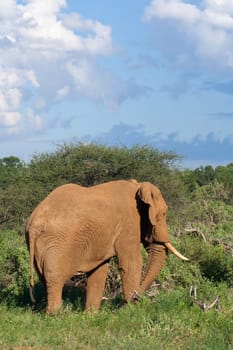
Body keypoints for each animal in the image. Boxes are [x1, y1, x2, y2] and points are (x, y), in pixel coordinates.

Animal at [25, 179, 187, 314]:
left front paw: (91, 315)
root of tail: (34, 225)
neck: (137, 187)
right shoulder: (129, 223)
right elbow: (131, 262)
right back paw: (56, 315)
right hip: (58, 244)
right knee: (55, 279)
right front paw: (131, 310)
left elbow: (100, 269)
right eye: (163, 214)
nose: (136, 297)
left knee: (44, 279)